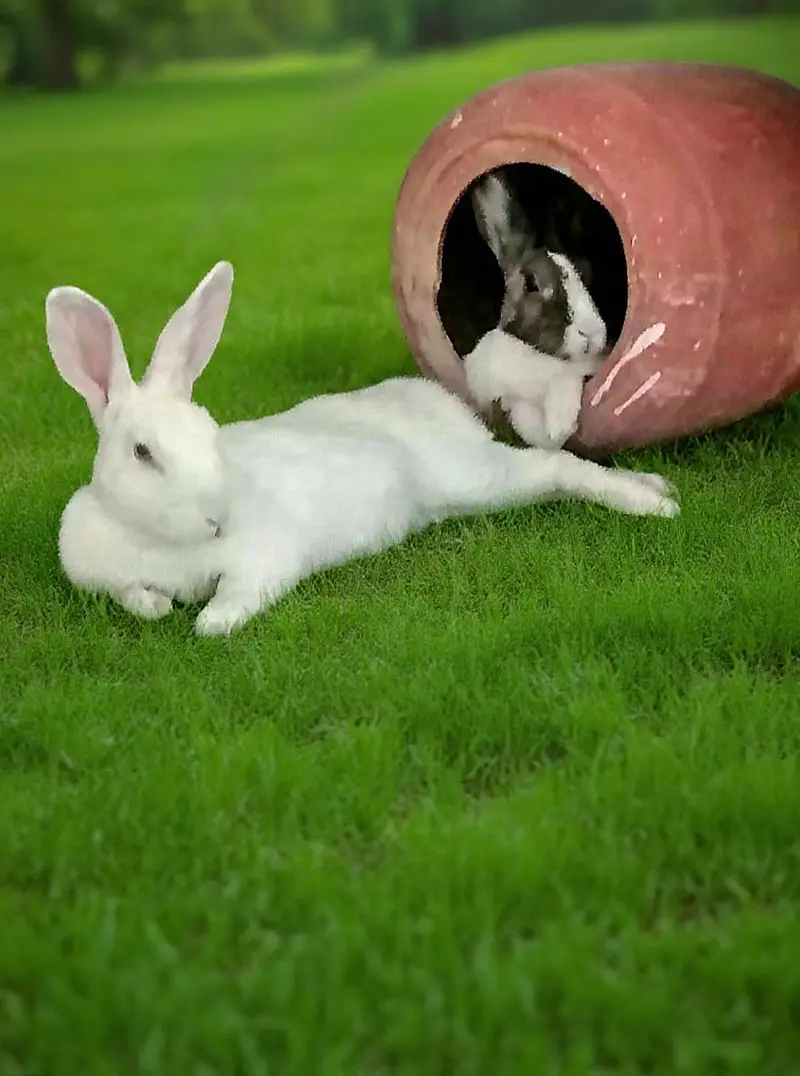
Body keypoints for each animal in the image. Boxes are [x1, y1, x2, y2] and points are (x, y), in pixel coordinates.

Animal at [45, 261, 679, 637]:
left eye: (209, 433)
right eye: (142, 452)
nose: (216, 519)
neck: (161, 545)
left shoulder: (264, 558)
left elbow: (223, 613)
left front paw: (207, 618)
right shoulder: (102, 578)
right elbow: (134, 598)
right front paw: (156, 606)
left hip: (475, 477)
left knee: (555, 464)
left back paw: (655, 504)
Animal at [464, 170, 608, 449]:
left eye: (587, 272)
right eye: (532, 283)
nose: (592, 333)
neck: (534, 353)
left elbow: (564, 381)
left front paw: (558, 429)